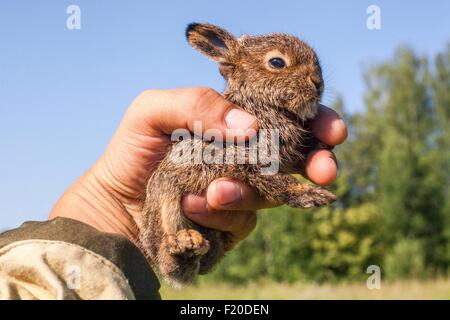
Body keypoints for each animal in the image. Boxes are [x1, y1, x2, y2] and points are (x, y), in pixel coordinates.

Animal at [139, 22, 336, 288]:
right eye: (276, 62)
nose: (318, 83)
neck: (259, 102)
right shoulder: (249, 157)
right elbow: (282, 183)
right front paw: (312, 196)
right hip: (165, 200)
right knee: (168, 256)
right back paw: (184, 245)